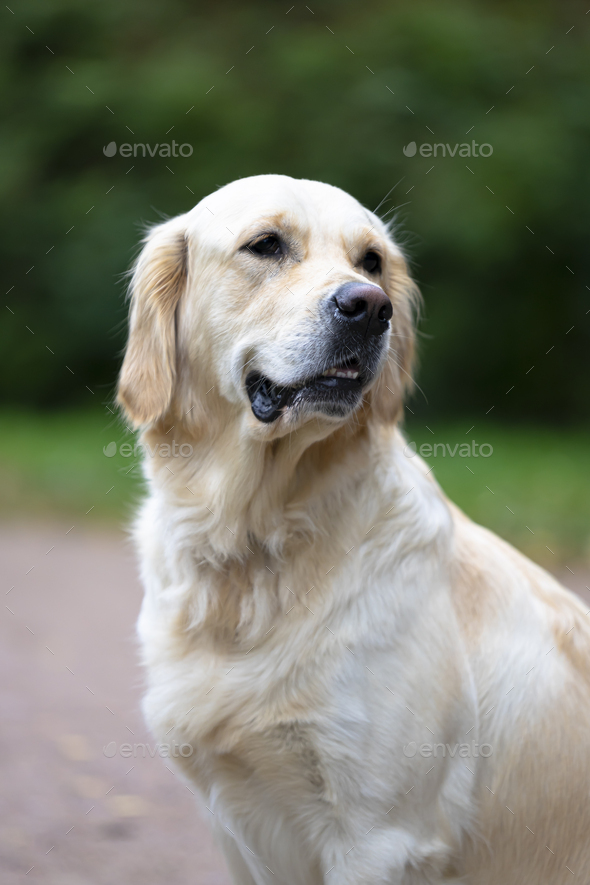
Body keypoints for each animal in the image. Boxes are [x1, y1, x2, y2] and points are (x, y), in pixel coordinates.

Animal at [118, 174, 590, 884]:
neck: (257, 541)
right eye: (266, 245)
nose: (370, 307)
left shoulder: (379, 837)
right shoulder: (234, 823)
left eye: (370, 261)